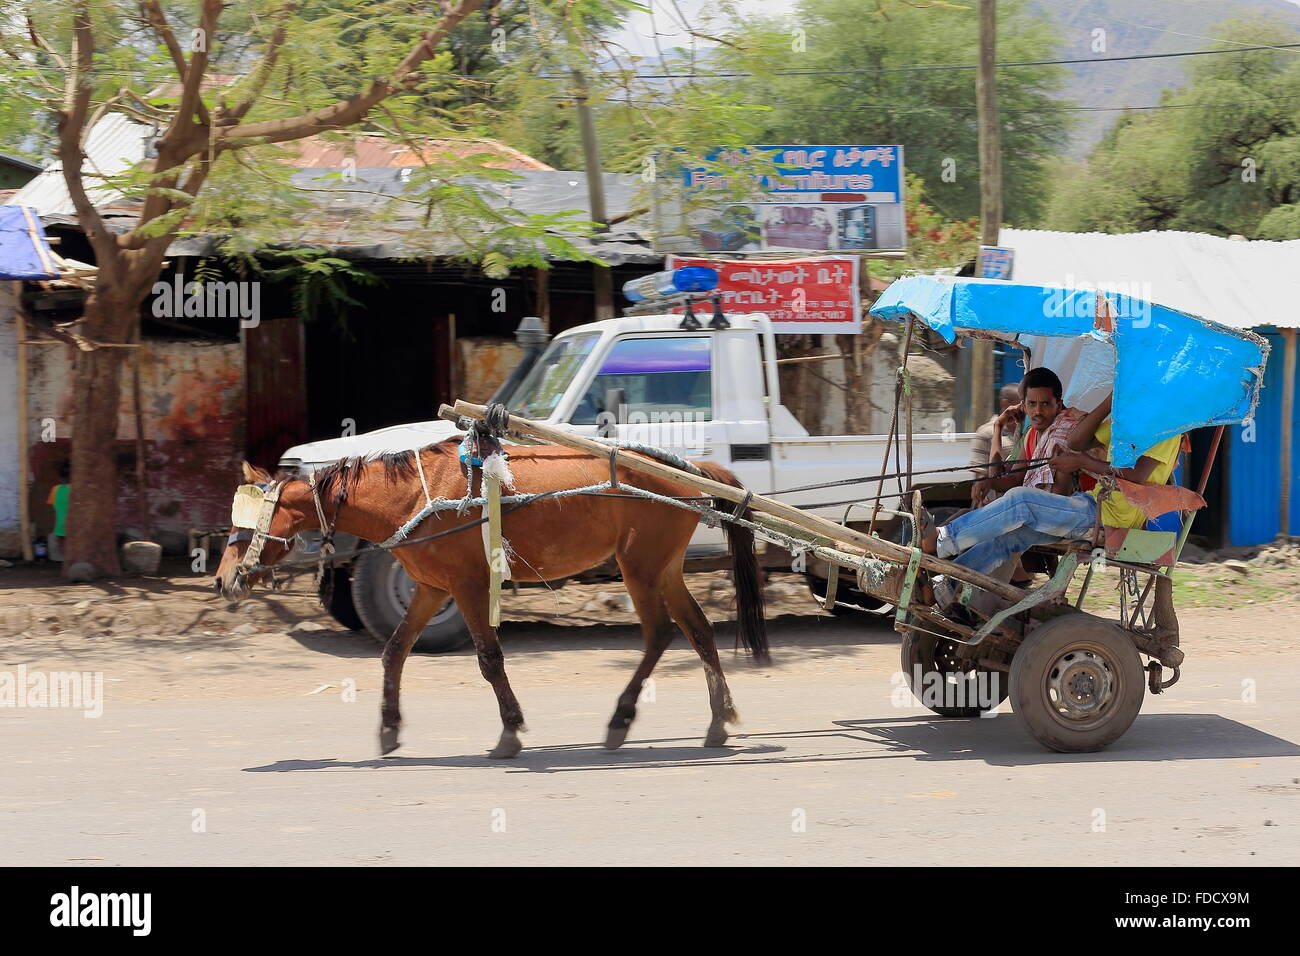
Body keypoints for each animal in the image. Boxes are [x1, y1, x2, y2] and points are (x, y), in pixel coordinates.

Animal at [208, 442, 764, 764]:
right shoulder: (432, 587)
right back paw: (718, 720)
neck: (413, 497)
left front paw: (510, 732)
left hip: (640, 567)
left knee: (660, 634)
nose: (223, 579)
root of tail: (693, 469)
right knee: (698, 629)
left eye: (248, 522)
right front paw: (388, 729)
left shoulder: (468, 585)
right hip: (663, 567)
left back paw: (621, 721)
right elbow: (393, 653)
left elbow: (490, 659)